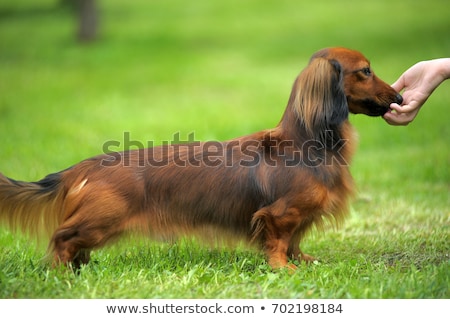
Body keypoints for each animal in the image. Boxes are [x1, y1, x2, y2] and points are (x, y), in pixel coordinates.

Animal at [0, 48, 400, 272]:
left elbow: (296, 241)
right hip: (100, 220)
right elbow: (278, 242)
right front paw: (283, 268)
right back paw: (61, 275)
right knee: (61, 238)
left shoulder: (298, 217)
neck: (305, 141)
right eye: (365, 70)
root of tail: (83, 166)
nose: (398, 97)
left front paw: (303, 261)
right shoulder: (279, 214)